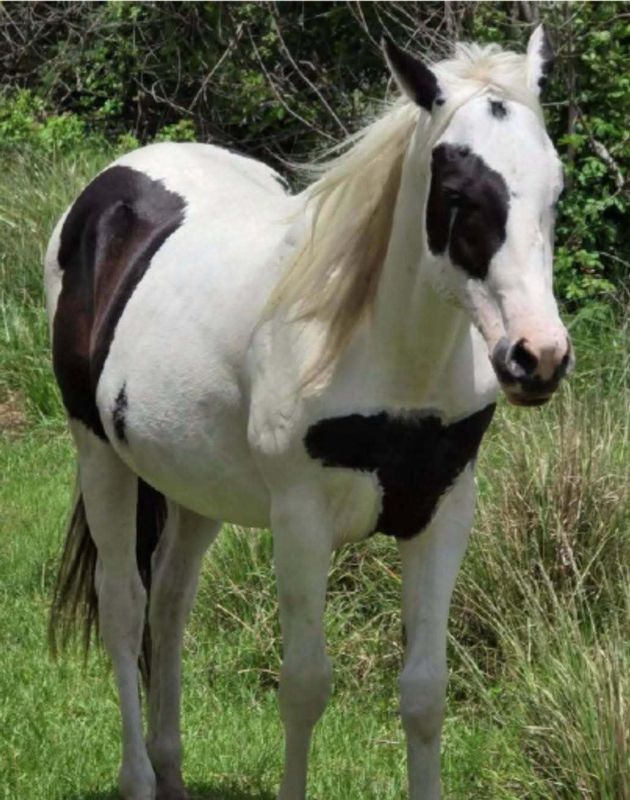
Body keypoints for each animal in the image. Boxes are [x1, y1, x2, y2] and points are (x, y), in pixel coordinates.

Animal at [45, 26, 571, 800]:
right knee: (124, 605)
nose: (538, 357)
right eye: (455, 193)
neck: (385, 353)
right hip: (98, 453)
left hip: (192, 482)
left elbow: (424, 692)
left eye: (555, 189)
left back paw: (172, 770)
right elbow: (303, 687)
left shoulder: (443, 511)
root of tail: (111, 187)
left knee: (170, 603)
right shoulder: (301, 520)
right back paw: (139, 778)